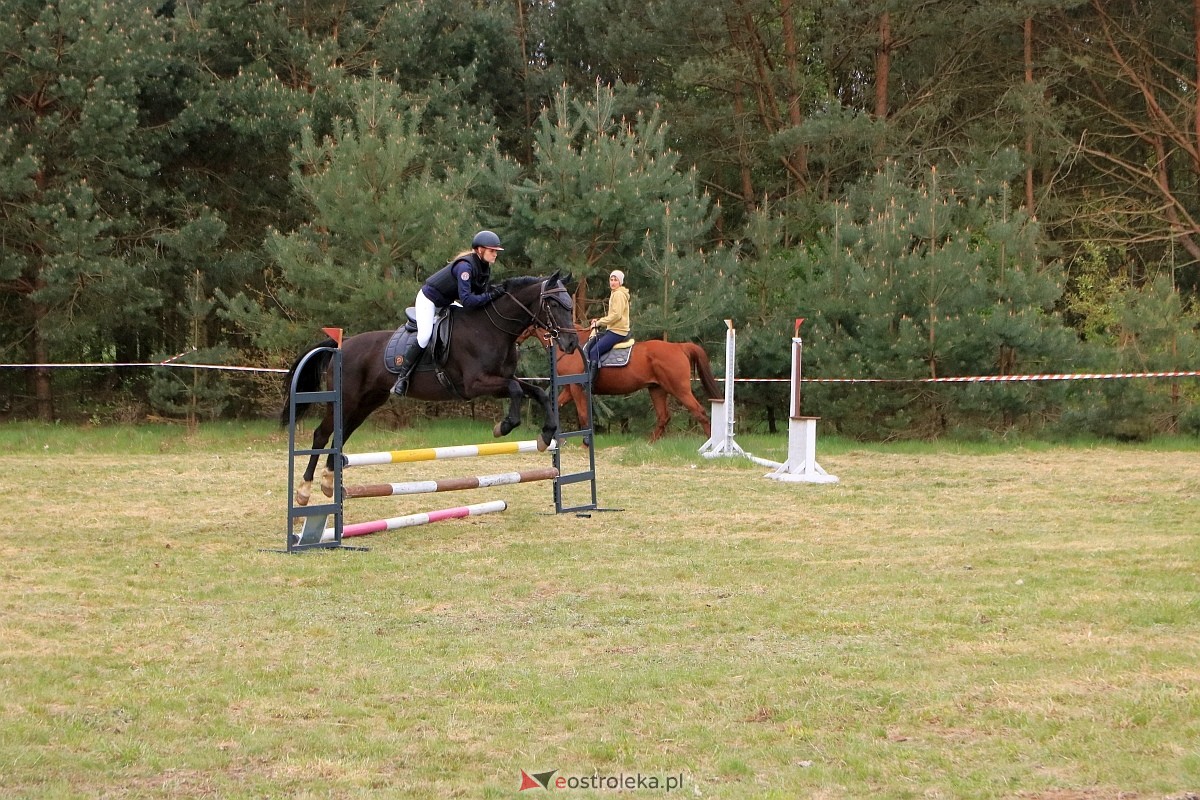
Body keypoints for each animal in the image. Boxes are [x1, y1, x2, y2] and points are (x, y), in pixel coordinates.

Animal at [283, 272, 578, 503]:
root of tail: (339, 347)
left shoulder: (499, 381)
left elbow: (536, 392)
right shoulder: (476, 384)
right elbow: (516, 392)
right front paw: (504, 426)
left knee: (340, 436)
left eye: (570, 304)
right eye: (553, 303)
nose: (571, 344)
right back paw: (305, 491)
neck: (492, 329)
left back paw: (328, 483)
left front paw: (546, 435)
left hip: (366, 403)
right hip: (347, 399)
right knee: (322, 434)